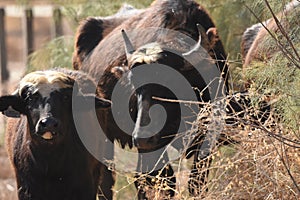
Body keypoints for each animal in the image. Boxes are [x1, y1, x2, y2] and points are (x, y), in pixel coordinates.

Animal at [72, 0, 230, 198]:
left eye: (169, 80)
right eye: (134, 84)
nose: (142, 137)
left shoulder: (208, 134)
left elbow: (196, 182)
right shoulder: (152, 147)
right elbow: (166, 181)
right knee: (107, 180)